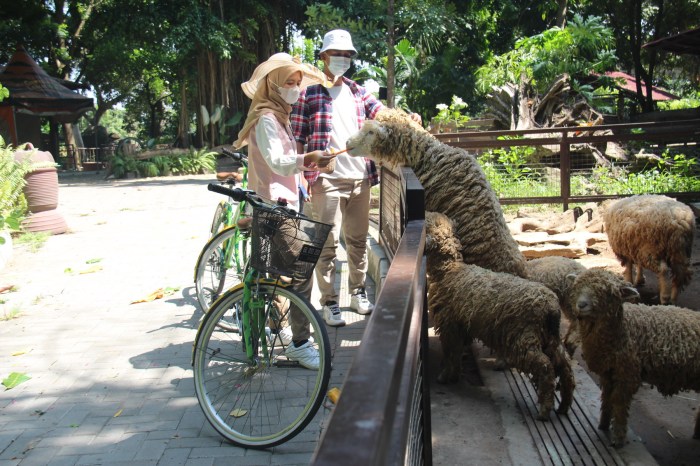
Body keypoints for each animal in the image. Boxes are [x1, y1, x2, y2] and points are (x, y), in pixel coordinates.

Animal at [422, 211, 576, 418]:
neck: (449, 271)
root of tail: (551, 308)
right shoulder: (461, 326)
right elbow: (457, 352)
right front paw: (454, 375)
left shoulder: (449, 325)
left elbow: (451, 352)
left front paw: (446, 376)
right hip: (550, 338)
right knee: (565, 367)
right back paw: (564, 405)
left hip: (524, 338)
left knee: (544, 367)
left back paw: (544, 409)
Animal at [568, 270, 700, 448]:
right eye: (577, 285)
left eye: (608, 293)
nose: (581, 305)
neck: (624, 328)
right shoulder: (609, 373)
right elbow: (606, 398)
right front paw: (603, 425)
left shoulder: (627, 374)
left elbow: (619, 404)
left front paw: (618, 438)